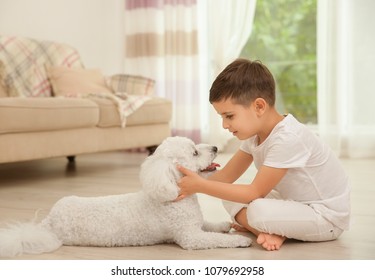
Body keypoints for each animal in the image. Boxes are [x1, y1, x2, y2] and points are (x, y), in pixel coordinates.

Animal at [0, 137, 253, 258]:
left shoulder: (195, 224)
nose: (215, 147)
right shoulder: (190, 237)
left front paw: (223, 225)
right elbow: (215, 239)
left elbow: (210, 225)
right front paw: (240, 241)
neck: (172, 192)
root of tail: (48, 223)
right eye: (194, 152)